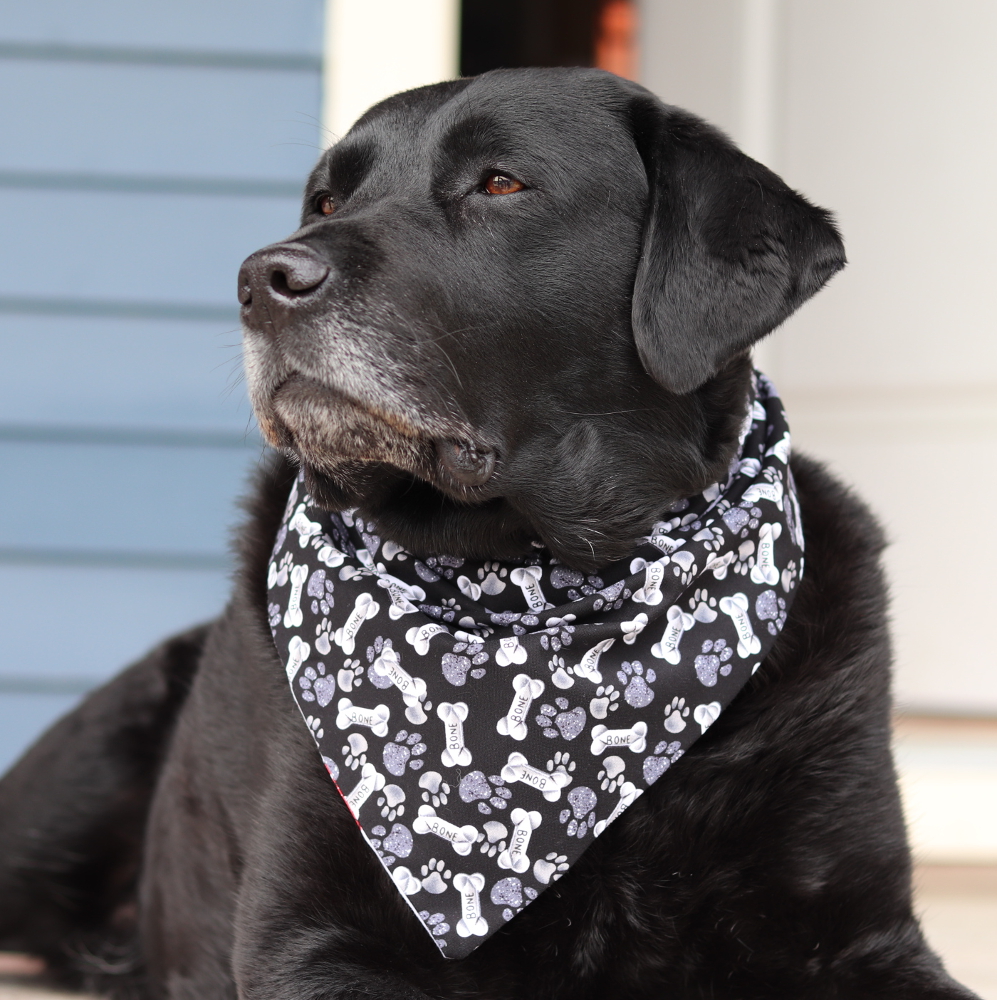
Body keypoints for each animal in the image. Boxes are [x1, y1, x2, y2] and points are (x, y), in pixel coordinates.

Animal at [0, 68, 976, 1000]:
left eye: (500, 182)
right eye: (325, 201)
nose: (261, 281)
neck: (547, 580)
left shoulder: (855, 930)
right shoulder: (318, 940)